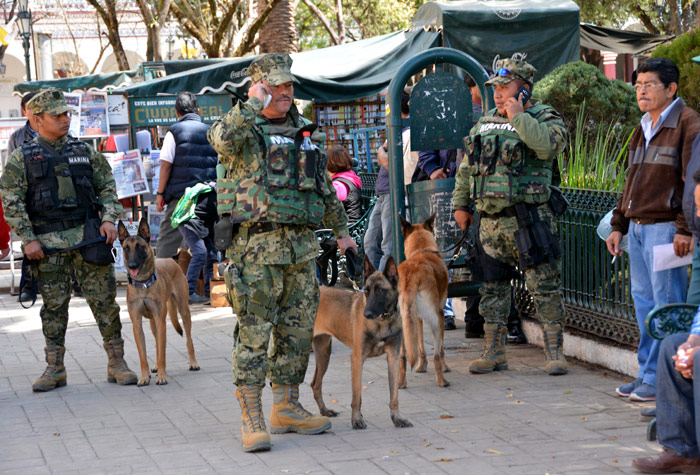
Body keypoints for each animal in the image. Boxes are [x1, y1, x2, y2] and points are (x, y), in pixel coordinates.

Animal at [117, 219, 200, 386]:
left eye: (140, 247)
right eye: (126, 248)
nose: (132, 265)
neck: (143, 284)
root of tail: (171, 259)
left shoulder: (161, 321)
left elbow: (162, 352)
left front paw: (162, 376)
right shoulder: (137, 324)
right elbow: (143, 355)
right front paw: (144, 377)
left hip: (183, 311)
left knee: (188, 339)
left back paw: (193, 362)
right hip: (152, 323)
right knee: (156, 344)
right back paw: (154, 367)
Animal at [310, 256, 410, 432]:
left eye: (380, 291)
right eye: (366, 291)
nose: (367, 314)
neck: (382, 320)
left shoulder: (393, 357)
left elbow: (394, 396)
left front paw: (397, 418)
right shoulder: (357, 358)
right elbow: (357, 396)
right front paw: (356, 420)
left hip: (323, 353)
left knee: (315, 384)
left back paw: (325, 411)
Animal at [396, 214, 452, 388]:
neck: (421, 248)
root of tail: (411, 275)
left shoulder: (418, 318)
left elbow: (420, 344)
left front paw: (421, 366)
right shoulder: (440, 313)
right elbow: (441, 349)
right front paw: (445, 367)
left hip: (403, 320)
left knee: (403, 356)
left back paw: (401, 383)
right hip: (435, 319)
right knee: (437, 354)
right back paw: (442, 380)